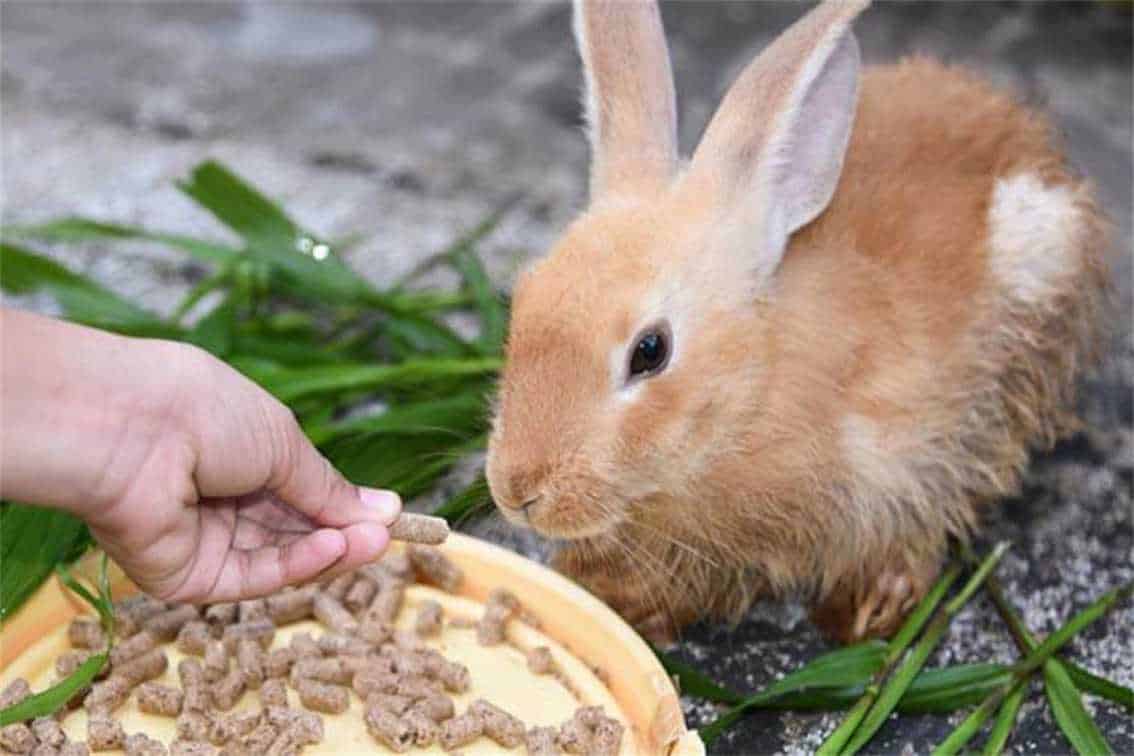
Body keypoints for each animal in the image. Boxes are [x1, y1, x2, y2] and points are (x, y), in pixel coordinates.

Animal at [480, 0, 1106, 643]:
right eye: (522, 300)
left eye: (650, 351)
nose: (518, 492)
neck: (752, 389)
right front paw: (608, 591)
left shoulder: (914, 460)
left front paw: (866, 613)